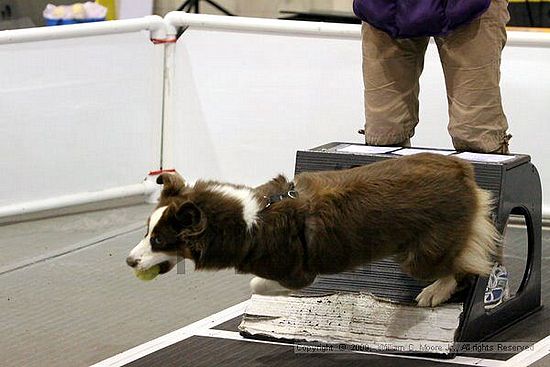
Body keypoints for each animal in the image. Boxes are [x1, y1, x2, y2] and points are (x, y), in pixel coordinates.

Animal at [127, 154, 502, 310]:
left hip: (421, 255)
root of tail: (461, 169)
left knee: (465, 267)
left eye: (158, 240)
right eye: (146, 232)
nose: (129, 261)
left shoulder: (297, 271)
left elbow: (257, 283)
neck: (249, 218)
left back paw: (434, 292)